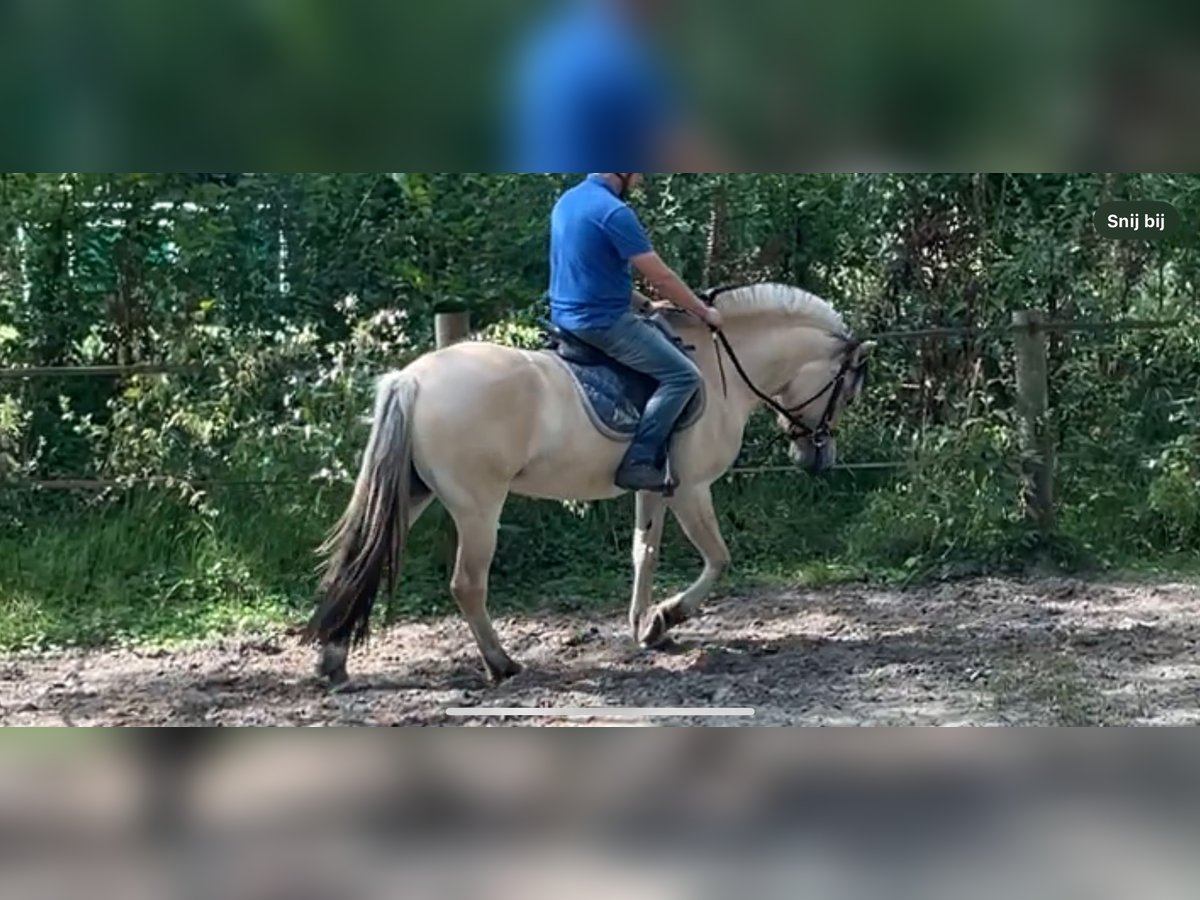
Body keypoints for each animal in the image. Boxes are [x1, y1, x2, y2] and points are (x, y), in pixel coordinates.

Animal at [300, 285, 873, 686]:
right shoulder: (692, 489)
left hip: (414, 493)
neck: (718, 370)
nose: (818, 456)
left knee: (358, 562)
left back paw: (334, 662)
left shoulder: (655, 488)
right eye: (846, 387)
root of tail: (414, 378)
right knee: (467, 584)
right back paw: (502, 664)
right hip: (478, 508)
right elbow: (718, 559)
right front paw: (668, 617)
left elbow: (645, 554)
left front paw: (645, 627)